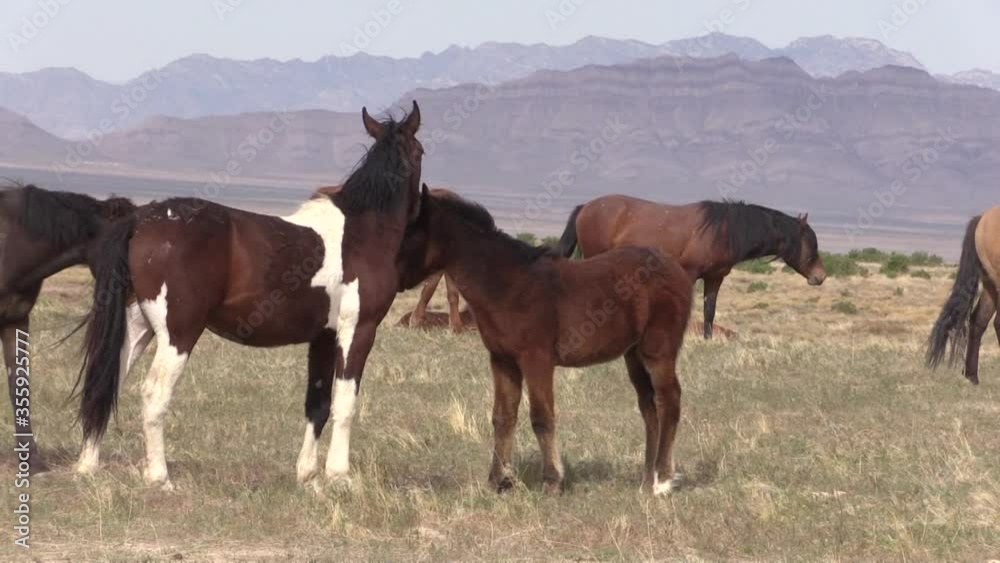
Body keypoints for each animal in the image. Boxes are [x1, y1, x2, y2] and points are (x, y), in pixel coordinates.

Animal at [74, 102, 425, 490]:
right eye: (421, 151)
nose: (420, 207)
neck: (362, 235)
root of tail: (140, 220)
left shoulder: (323, 336)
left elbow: (317, 403)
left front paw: (307, 475)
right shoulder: (357, 331)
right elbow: (345, 403)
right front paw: (339, 476)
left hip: (138, 327)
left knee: (105, 383)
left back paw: (88, 466)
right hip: (178, 334)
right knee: (153, 393)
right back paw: (159, 477)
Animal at [399, 185, 693, 496]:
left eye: (410, 231)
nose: (394, 279)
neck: (509, 285)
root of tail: (677, 271)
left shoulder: (536, 359)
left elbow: (541, 417)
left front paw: (552, 480)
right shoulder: (502, 360)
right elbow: (503, 416)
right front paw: (498, 480)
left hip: (658, 351)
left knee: (668, 400)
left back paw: (663, 479)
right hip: (633, 355)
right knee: (649, 406)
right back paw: (647, 479)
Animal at [557, 194, 826, 338]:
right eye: (811, 243)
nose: (820, 277)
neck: (722, 231)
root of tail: (585, 207)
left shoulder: (715, 278)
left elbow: (709, 310)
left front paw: (708, 340)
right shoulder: (689, 273)